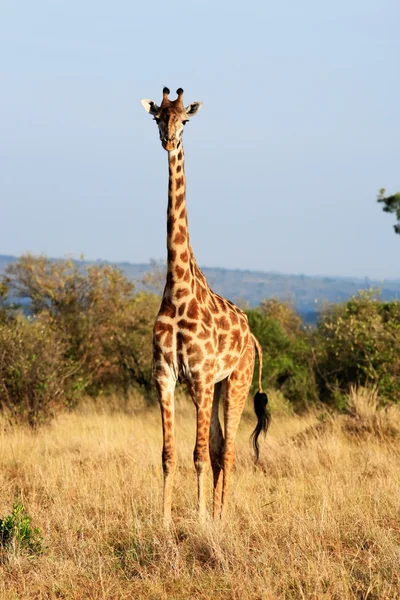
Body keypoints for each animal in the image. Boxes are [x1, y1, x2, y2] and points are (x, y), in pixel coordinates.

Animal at [140, 86, 268, 524]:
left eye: (185, 120)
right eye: (157, 117)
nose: (169, 140)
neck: (178, 291)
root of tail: (252, 335)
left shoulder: (197, 377)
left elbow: (196, 454)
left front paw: (199, 520)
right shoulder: (165, 376)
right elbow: (168, 454)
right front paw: (164, 521)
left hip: (236, 381)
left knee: (227, 450)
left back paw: (220, 516)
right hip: (217, 386)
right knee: (218, 447)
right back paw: (216, 511)